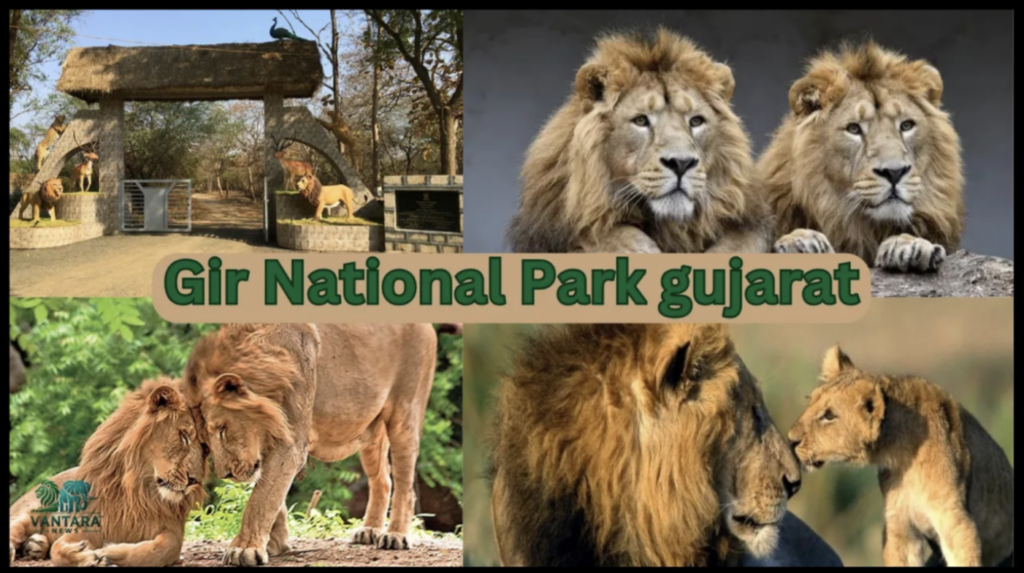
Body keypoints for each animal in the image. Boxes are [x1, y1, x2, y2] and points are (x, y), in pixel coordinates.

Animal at [9, 378, 208, 567]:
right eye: (184, 436)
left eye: (205, 448)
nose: (194, 480)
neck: (138, 490)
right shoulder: (86, 524)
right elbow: (58, 551)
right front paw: (91, 556)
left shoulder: (172, 528)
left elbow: (162, 550)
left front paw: (110, 551)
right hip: (34, 507)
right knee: (17, 525)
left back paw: (35, 545)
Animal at [182, 323, 459, 566]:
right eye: (205, 441)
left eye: (221, 428)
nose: (226, 474)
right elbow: (271, 496)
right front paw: (276, 543)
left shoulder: (291, 444)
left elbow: (261, 499)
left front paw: (245, 549)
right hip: (370, 430)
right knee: (383, 480)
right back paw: (368, 530)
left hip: (405, 413)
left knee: (404, 484)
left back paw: (396, 535)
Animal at [788, 345, 1014, 567]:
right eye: (810, 401)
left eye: (829, 416)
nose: (790, 440)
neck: (901, 454)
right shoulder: (899, 524)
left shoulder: (956, 522)